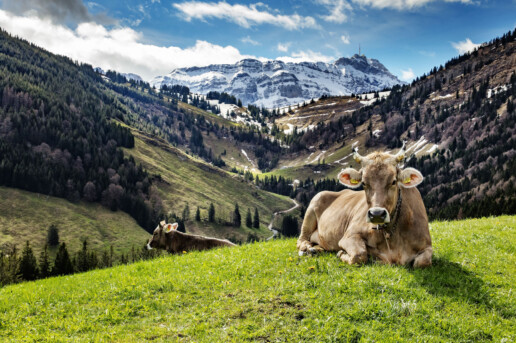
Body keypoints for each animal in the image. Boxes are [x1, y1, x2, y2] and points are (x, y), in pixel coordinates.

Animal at [296, 142, 434, 268]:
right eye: (363, 183)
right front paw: (341, 253)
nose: (376, 214)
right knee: (301, 240)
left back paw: (316, 249)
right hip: (313, 207)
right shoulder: (349, 236)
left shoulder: (427, 245)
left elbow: (423, 262)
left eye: (394, 181)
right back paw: (308, 249)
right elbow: (360, 255)